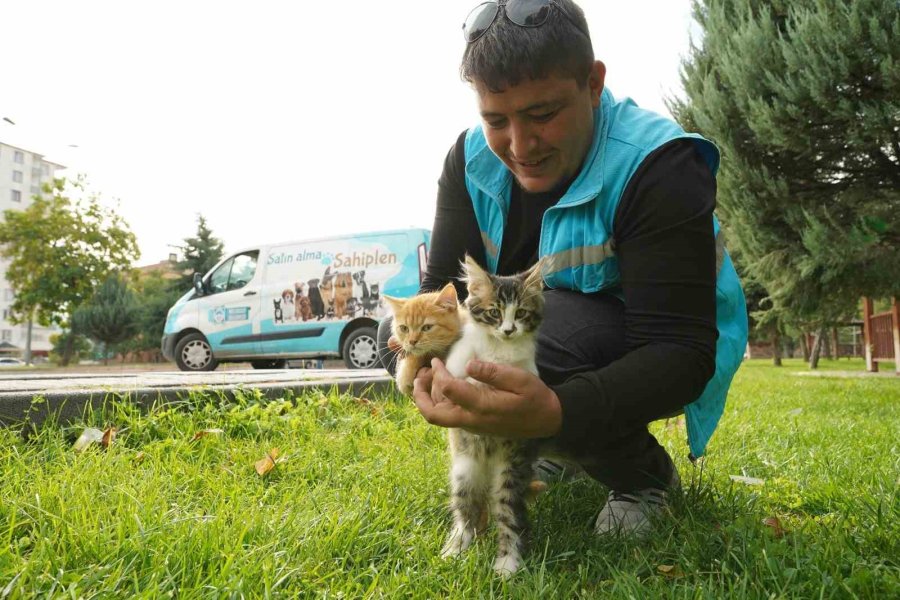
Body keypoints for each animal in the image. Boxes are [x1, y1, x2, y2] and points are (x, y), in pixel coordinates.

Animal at [442, 253, 544, 576]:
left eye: (521, 312)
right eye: (494, 312)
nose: (508, 330)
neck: (500, 349)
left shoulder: (527, 375)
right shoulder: (457, 363)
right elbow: (462, 375)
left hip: (510, 471)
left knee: (508, 514)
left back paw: (507, 563)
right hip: (464, 471)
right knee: (467, 512)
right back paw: (455, 549)